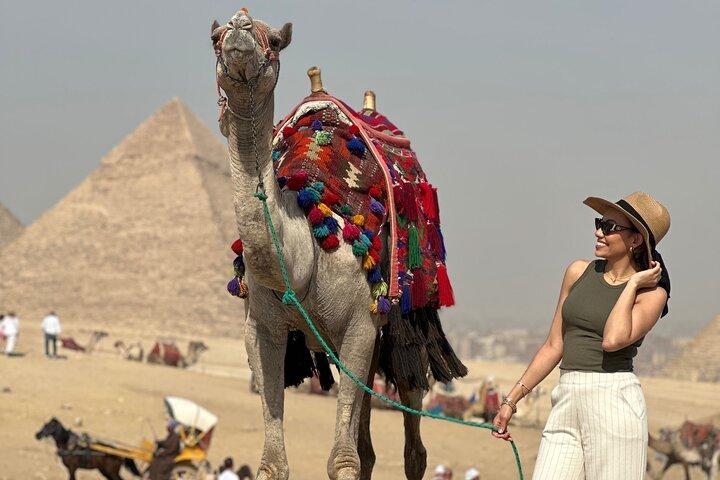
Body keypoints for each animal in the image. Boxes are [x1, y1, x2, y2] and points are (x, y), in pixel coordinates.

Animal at [210, 9, 465, 480]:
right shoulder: (262, 328)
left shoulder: (358, 325)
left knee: (413, 444)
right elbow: (274, 462)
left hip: (407, 320)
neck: (303, 251)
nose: (239, 25)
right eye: (215, 36)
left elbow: (342, 460)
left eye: (275, 40)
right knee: (367, 440)